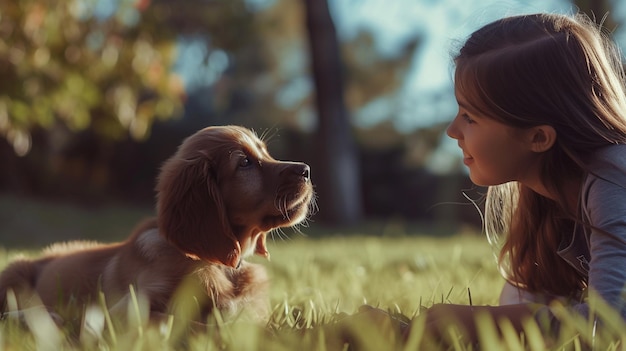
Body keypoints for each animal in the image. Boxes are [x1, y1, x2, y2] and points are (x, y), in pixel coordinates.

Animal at [0, 125, 312, 326]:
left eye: (266, 153)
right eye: (245, 162)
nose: (307, 170)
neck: (216, 264)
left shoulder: (254, 309)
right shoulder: (127, 309)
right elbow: (186, 325)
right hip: (14, 271)